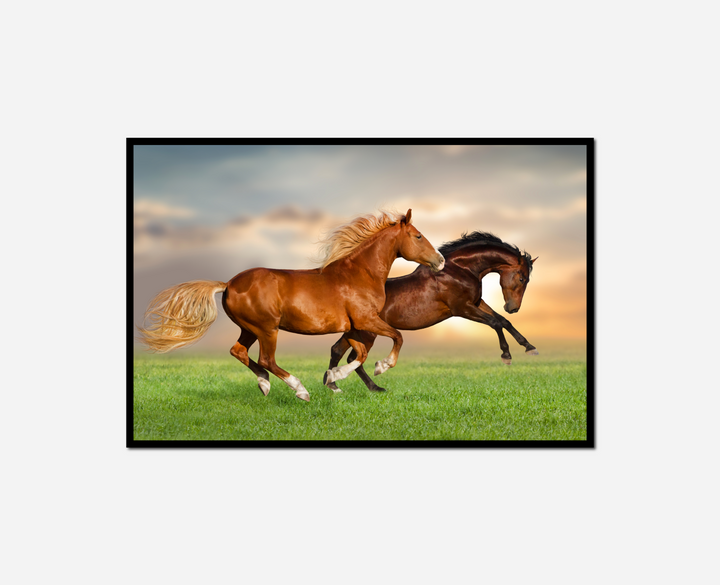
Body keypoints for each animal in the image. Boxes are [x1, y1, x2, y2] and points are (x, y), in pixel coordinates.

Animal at [137, 209, 445, 401]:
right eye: (418, 236)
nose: (440, 261)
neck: (359, 274)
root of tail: (229, 283)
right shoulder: (366, 321)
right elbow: (395, 338)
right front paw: (378, 369)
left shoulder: (356, 326)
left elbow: (358, 353)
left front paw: (334, 379)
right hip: (267, 328)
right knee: (266, 360)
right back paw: (300, 390)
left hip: (249, 328)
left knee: (239, 351)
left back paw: (264, 384)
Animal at [324, 231, 537, 392]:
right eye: (522, 279)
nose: (513, 308)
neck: (459, 270)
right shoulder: (462, 308)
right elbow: (495, 323)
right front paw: (506, 355)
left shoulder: (477, 302)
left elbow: (503, 321)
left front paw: (529, 347)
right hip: (368, 333)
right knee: (353, 357)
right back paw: (373, 386)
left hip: (354, 332)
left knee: (337, 351)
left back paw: (336, 385)